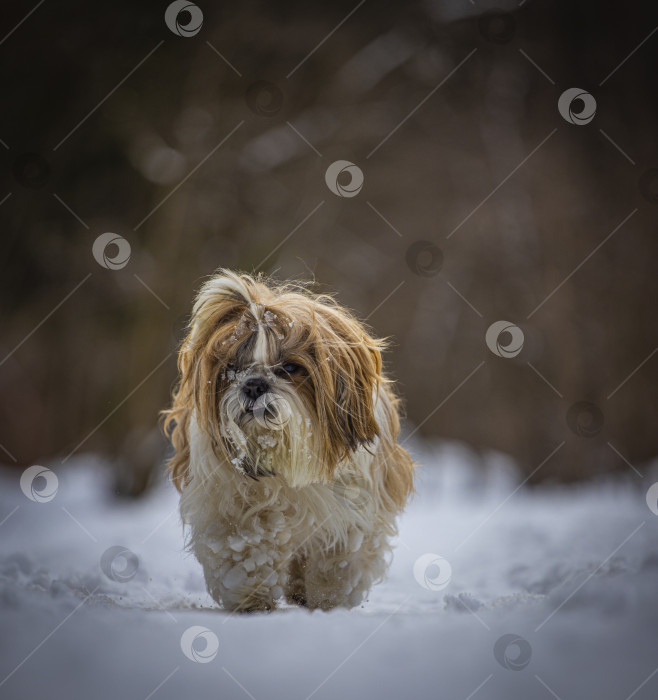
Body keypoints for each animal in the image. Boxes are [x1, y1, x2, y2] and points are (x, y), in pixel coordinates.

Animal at [163, 270, 410, 608]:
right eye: (231, 369)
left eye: (290, 368)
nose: (254, 385)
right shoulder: (227, 499)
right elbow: (244, 545)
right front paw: (252, 596)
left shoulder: (356, 505)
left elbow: (339, 556)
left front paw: (328, 599)